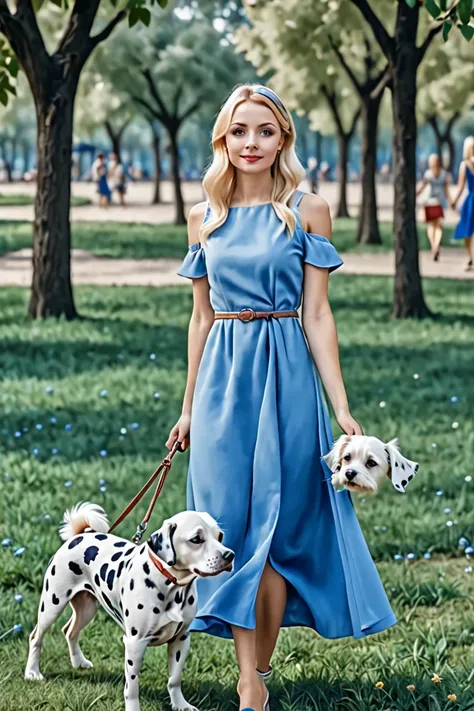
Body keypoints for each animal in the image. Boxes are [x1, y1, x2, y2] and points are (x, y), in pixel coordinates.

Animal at [25, 500, 234, 711]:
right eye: (196, 539)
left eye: (220, 536)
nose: (229, 555)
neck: (171, 585)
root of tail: (80, 535)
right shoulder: (135, 643)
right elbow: (132, 687)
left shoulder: (181, 639)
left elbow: (174, 680)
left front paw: (180, 704)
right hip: (52, 605)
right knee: (36, 636)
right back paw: (32, 672)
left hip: (87, 609)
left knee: (69, 631)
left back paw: (79, 662)